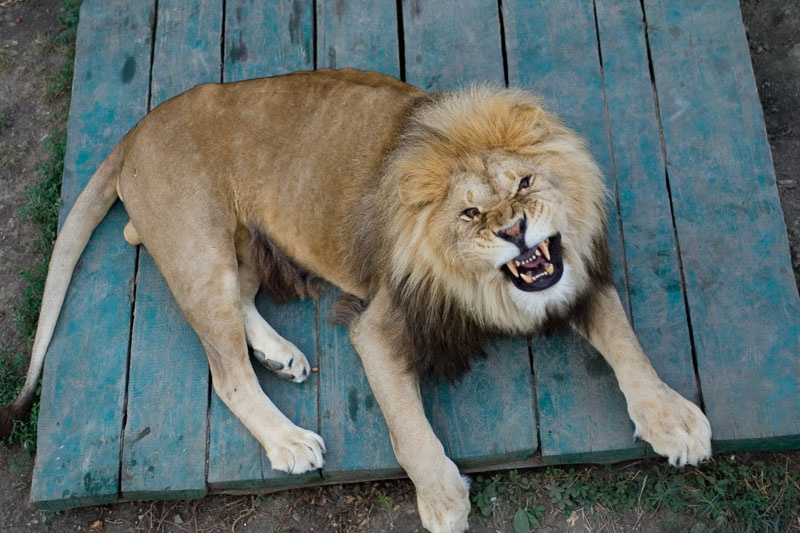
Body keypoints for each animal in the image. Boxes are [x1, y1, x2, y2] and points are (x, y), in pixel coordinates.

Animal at [0, 69, 711, 532]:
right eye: (471, 213)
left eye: (526, 183)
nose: (515, 230)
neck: (485, 285)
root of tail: (139, 126)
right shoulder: (381, 323)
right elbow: (407, 426)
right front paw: (442, 499)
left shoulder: (578, 277)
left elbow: (627, 343)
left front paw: (673, 421)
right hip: (198, 253)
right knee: (226, 373)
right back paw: (289, 442)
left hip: (247, 247)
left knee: (243, 315)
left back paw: (282, 355)